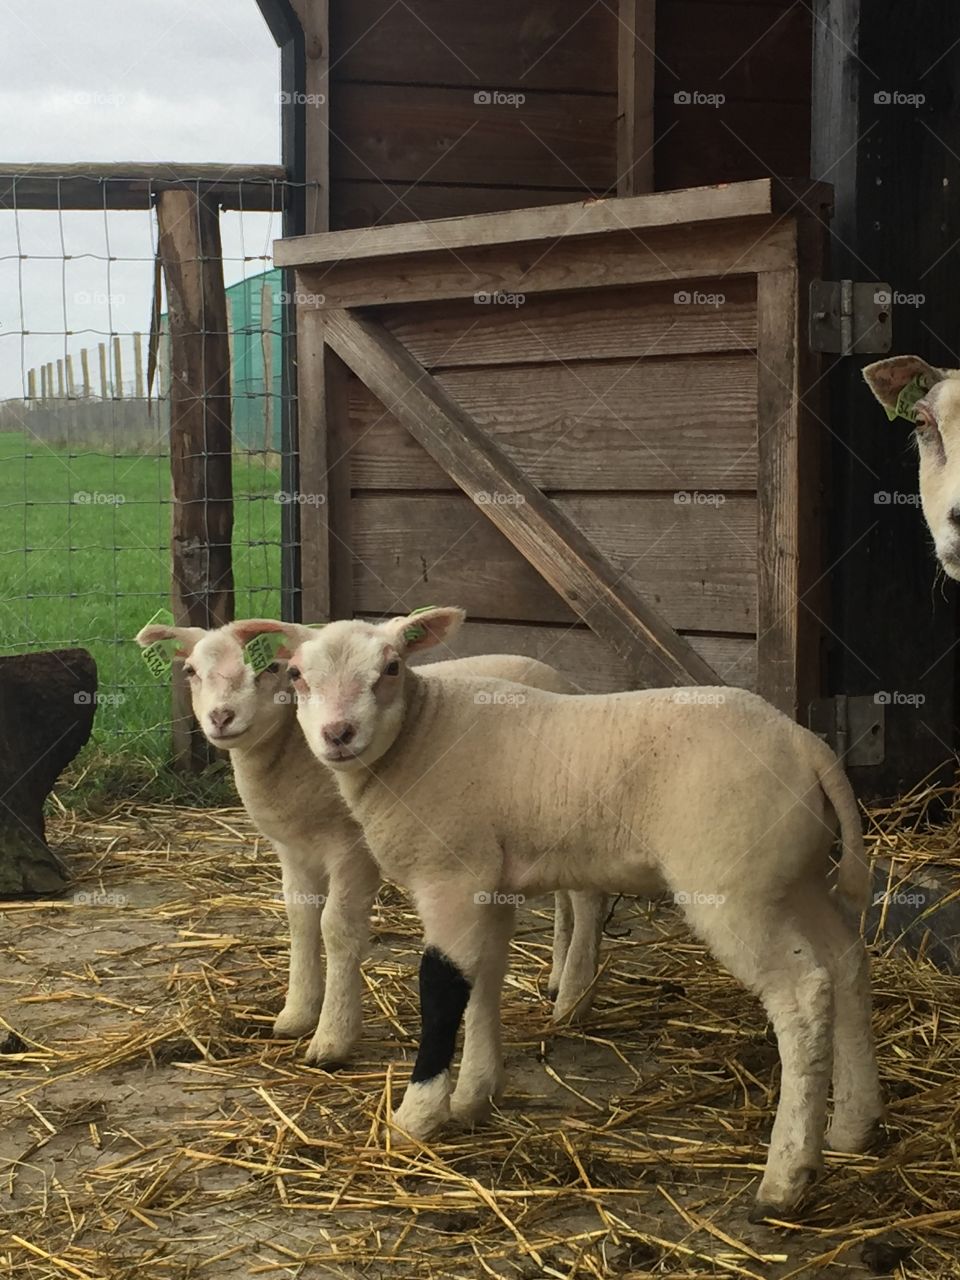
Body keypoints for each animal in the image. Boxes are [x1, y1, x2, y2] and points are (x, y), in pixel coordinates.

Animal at [133, 622, 609, 1070]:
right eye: (191, 671)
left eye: (272, 669)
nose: (221, 717)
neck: (289, 755)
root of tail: (560, 677)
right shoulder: (293, 850)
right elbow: (299, 920)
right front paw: (297, 1013)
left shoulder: (352, 849)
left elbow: (335, 926)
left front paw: (332, 1037)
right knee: (564, 895)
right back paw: (557, 976)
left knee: (587, 899)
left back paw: (573, 998)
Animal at [236, 609, 885, 1218]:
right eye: (296, 676)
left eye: (391, 668)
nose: (337, 734)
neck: (419, 736)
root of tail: (808, 747)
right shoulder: (488, 884)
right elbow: (484, 980)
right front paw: (474, 1096)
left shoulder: (451, 876)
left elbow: (443, 987)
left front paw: (417, 1115)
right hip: (796, 879)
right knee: (847, 965)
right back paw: (853, 1125)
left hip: (732, 884)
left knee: (803, 995)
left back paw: (787, 1176)